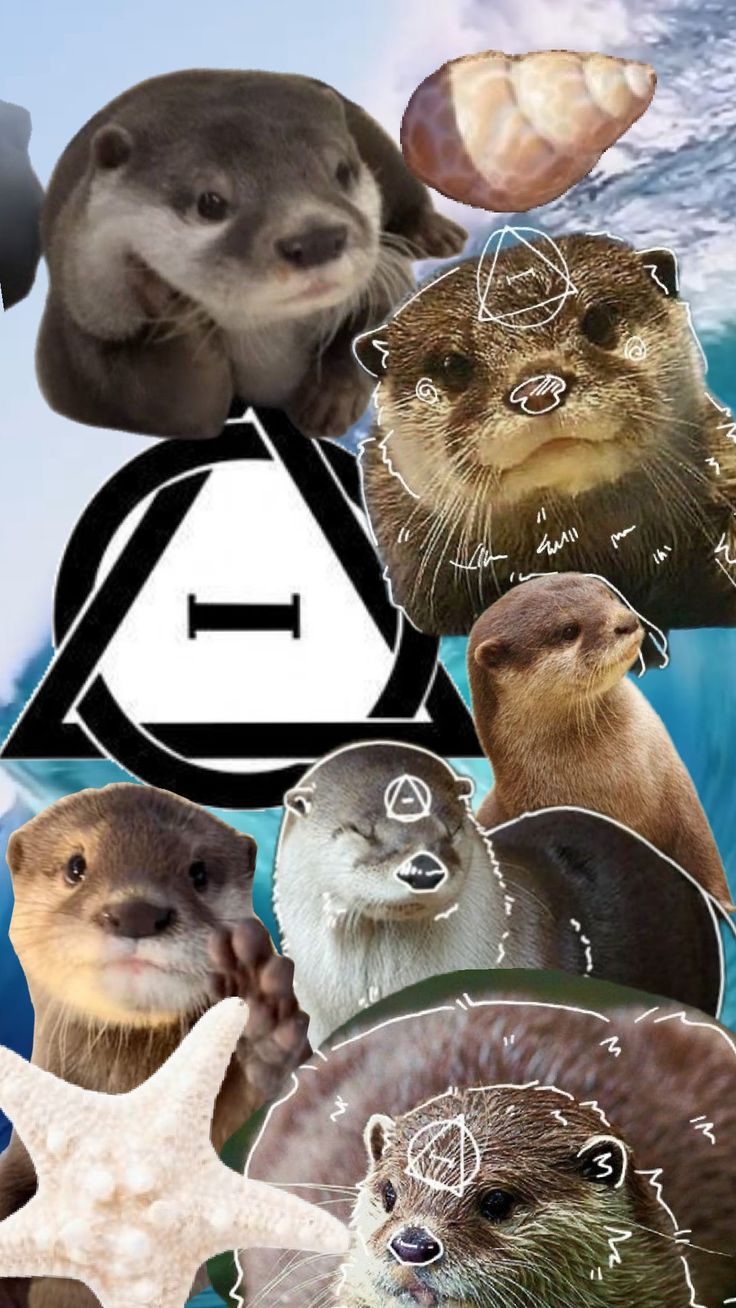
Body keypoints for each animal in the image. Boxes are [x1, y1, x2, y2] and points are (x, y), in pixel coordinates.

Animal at [37, 69, 466, 440]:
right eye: (210, 202)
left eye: (342, 171)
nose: (316, 239)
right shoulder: (81, 343)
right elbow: (184, 406)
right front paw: (165, 301)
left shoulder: (387, 272)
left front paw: (330, 397)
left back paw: (434, 232)